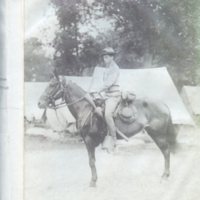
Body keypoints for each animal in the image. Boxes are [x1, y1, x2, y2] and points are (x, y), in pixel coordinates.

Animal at [38, 77, 177, 187]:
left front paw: (93, 182)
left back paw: (165, 176)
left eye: (52, 85)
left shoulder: (88, 140)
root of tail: (164, 105)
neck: (85, 108)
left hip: (158, 135)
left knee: (166, 151)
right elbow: (92, 161)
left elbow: (91, 162)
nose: (40, 103)